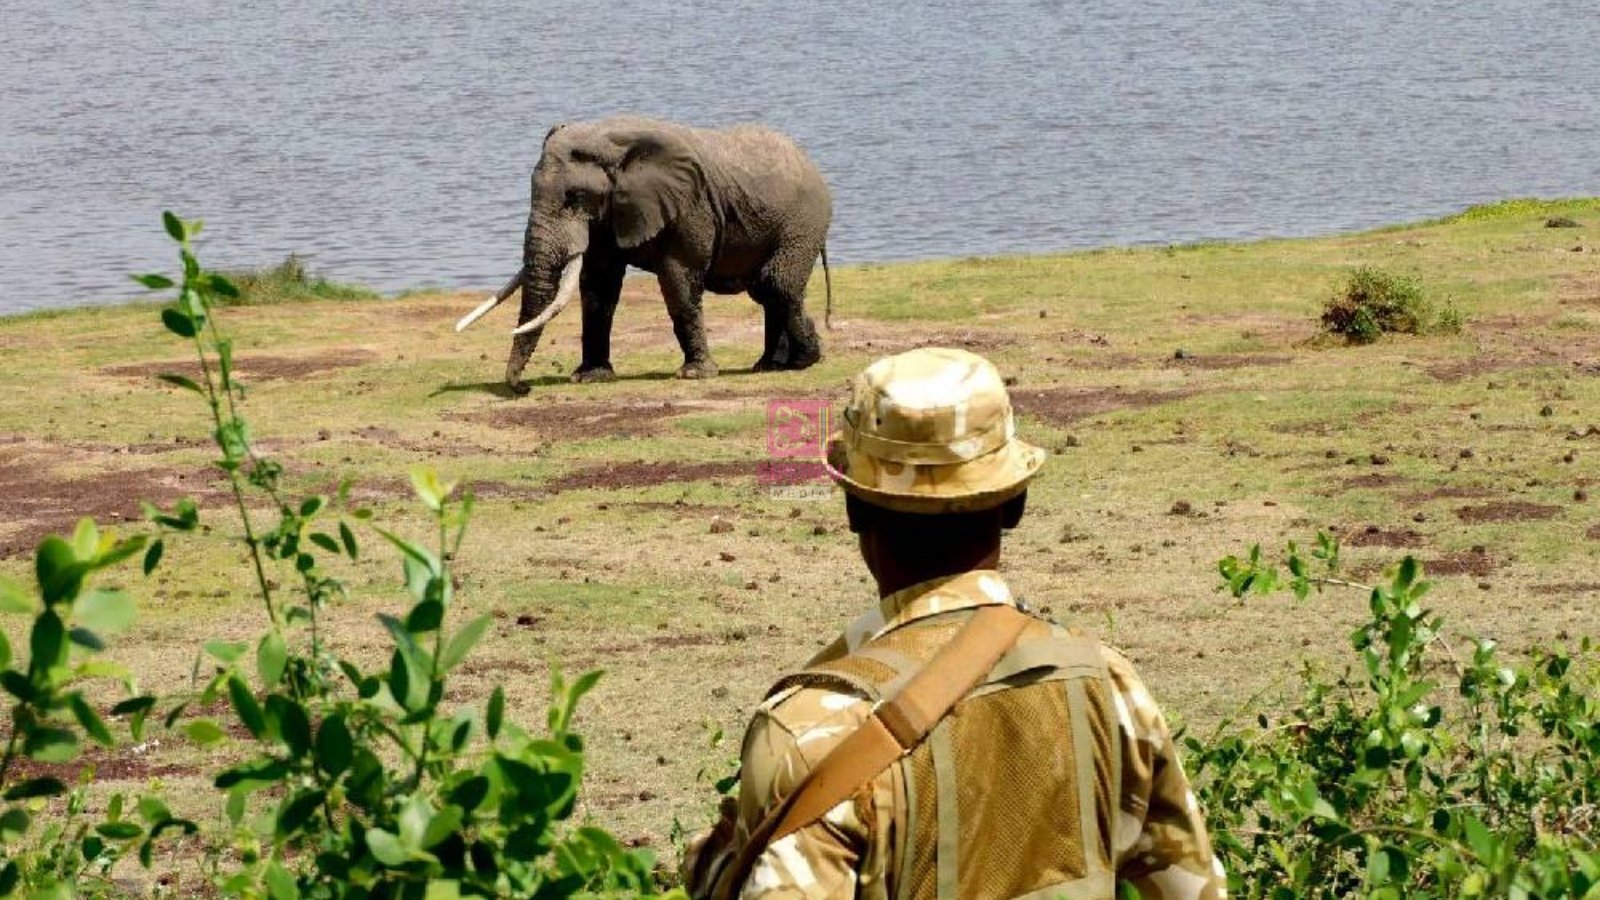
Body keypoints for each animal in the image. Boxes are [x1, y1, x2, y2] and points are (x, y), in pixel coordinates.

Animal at [456, 116, 833, 393]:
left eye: (573, 198)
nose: (523, 388)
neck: (608, 142)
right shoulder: (608, 215)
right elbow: (599, 289)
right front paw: (590, 377)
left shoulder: (689, 207)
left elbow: (678, 281)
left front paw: (694, 375)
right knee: (767, 290)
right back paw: (771, 365)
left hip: (803, 222)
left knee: (776, 285)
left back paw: (804, 359)